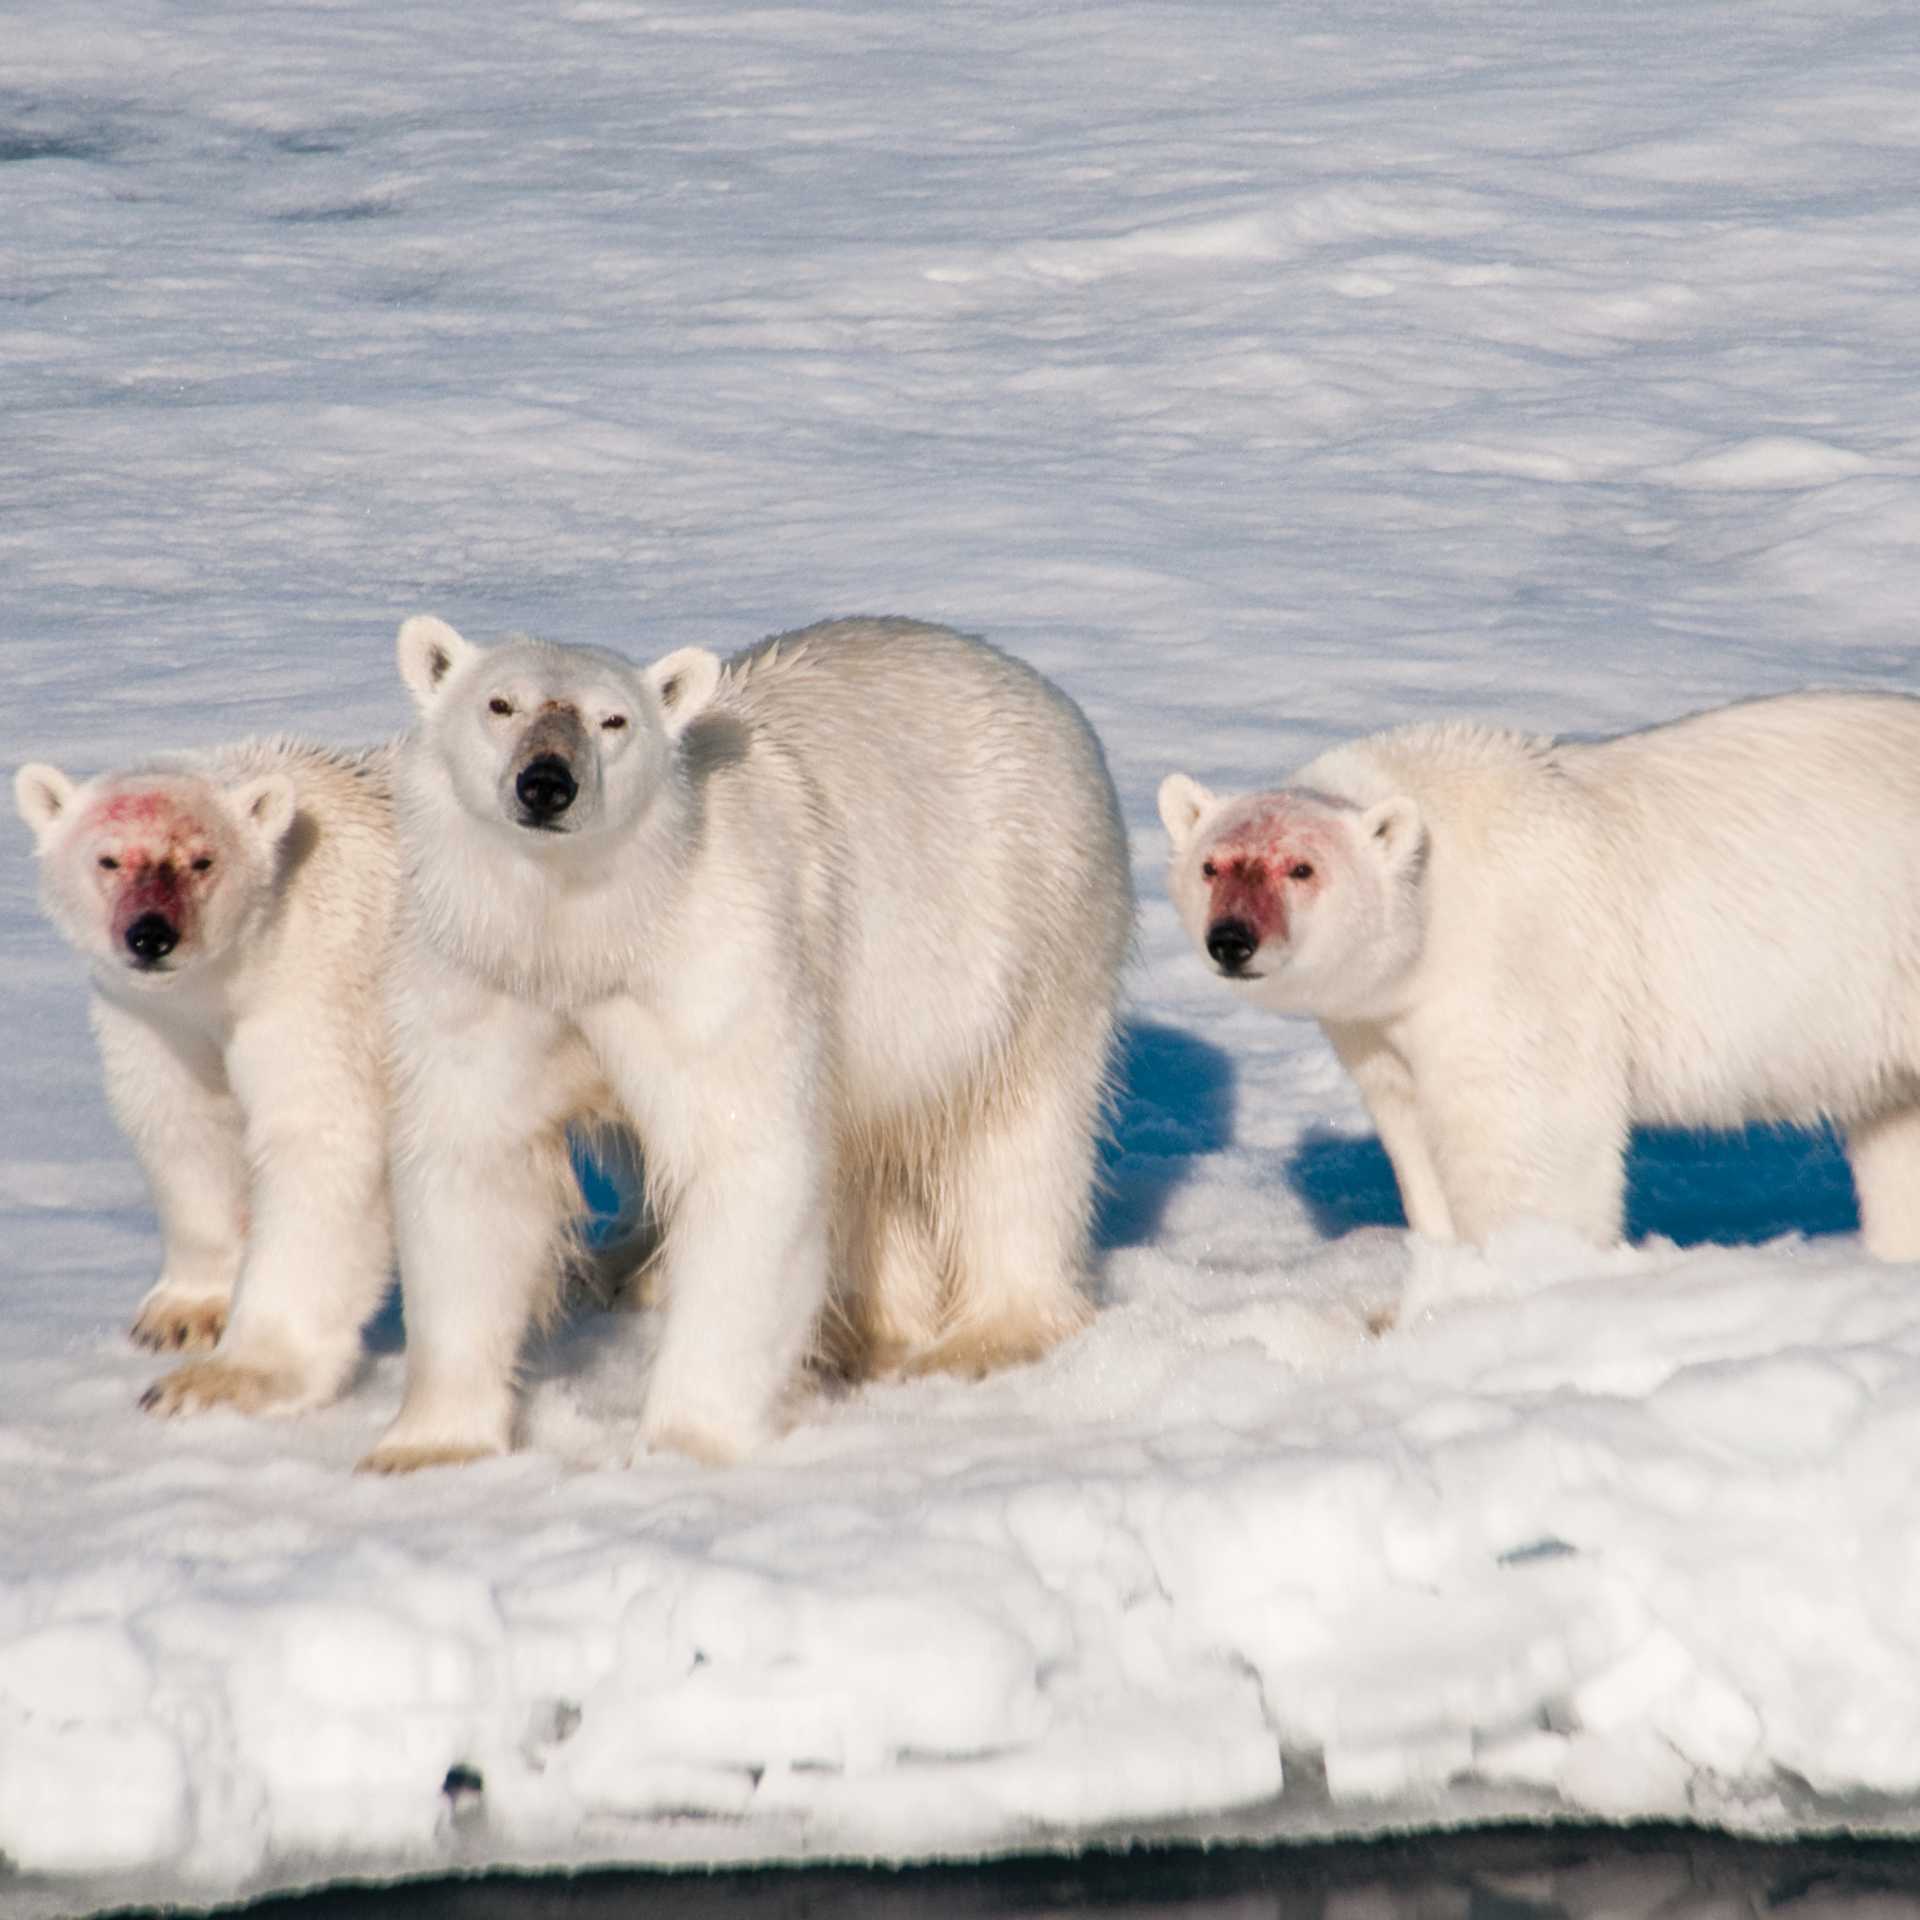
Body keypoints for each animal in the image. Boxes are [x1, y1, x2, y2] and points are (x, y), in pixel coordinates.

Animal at [14, 739, 401, 1415]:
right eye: (108, 858)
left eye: (201, 860)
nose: (150, 935)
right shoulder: (154, 1015)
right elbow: (182, 1119)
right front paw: (182, 1315)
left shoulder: (320, 983)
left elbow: (319, 1138)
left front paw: (224, 1379)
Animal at [361, 614, 1133, 1473]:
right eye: (500, 703)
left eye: (612, 719)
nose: (547, 782)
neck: (595, 934)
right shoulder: (484, 981)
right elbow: (475, 1173)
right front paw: (429, 1447)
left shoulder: (718, 969)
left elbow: (746, 1161)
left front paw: (686, 1443)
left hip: (1027, 935)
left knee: (1014, 1134)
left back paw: (991, 1333)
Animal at [1160, 690, 1920, 1259]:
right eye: (1212, 866)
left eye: (1301, 868)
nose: (1232, 940)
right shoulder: (1377, 1023)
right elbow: (1414, 1128)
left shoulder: (1518, 960)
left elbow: (1527, 1136)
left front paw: (1523, 1271)